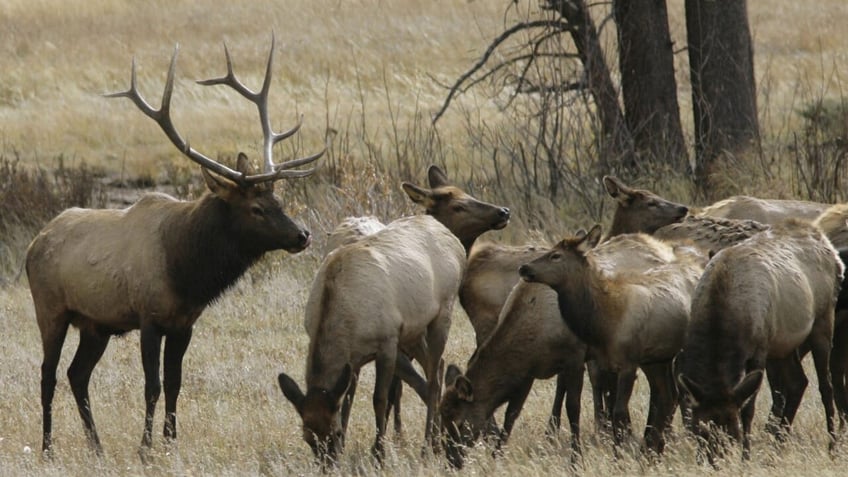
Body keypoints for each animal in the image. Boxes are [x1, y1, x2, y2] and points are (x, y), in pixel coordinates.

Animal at [25, 36, 324, 454]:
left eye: (278, 199)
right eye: (256, 208)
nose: (302, 235)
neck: (186, 272)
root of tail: (34, 244)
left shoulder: (185, 323)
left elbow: (175, 384)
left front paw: (171, 443)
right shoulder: (149, 317)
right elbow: (152, 385)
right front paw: (146, 448)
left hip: (96, 324)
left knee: (77, 374)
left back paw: (96, 446)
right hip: (51, 308)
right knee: (48, 374)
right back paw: (48, 448)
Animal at [276, 165, 510, 462]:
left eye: (335, 434)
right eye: (308, 438)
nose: (328, 464)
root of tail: (446, 233)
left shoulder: (387, 341)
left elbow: (380, 397)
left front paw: (380, 453)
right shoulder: (355, 358)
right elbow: (348, 398)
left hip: (441, 313)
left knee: (434, 375)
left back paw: (429, 444)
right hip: (414, 328)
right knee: (433, 370)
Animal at [672, 218, 844, 462]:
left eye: (732, 432)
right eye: (700, 429)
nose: (714, 461)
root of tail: (828, 246)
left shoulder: (760, 349)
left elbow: (748, 408)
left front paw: (746, 457)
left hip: (822, 320)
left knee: (825, 386)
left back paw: (832, 446)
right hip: (783, 343)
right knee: (798, 382)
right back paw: (778, 445)